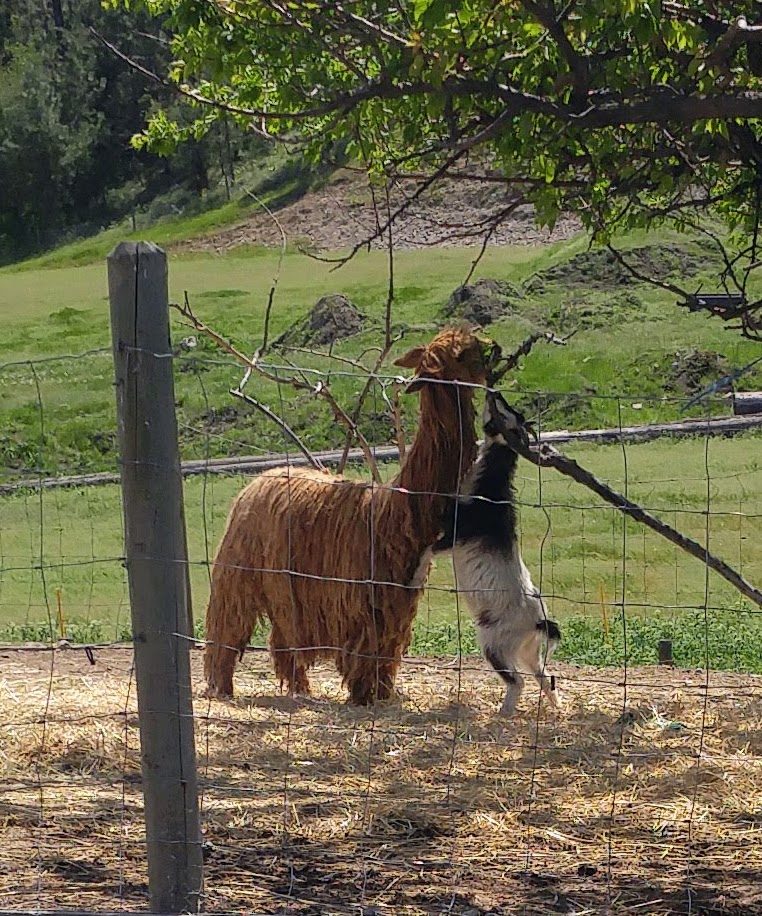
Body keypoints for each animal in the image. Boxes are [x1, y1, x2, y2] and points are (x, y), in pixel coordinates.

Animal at [202, 326, 490, 704]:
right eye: (460, 353)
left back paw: (300, 691)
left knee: (282, 639)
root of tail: (261, 478)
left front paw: (382, 695)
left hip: (286, 587)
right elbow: (364, 656)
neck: (398, 511)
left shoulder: (397, 605)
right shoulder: (362, 602)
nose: (495, 350)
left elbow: (386, 654)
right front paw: (363, 697)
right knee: (227, 627)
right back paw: (221, 689)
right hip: (239, 572)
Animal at [430, 390, 560, 720]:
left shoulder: (456, 533)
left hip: (496, 645)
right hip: (527, 651)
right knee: (543, 676)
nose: (494, 392)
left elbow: (429, 547)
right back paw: (555, 709)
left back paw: (503, 714)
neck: (488, 487)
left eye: (509, 410)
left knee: (518, 681)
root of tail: (538, 621)